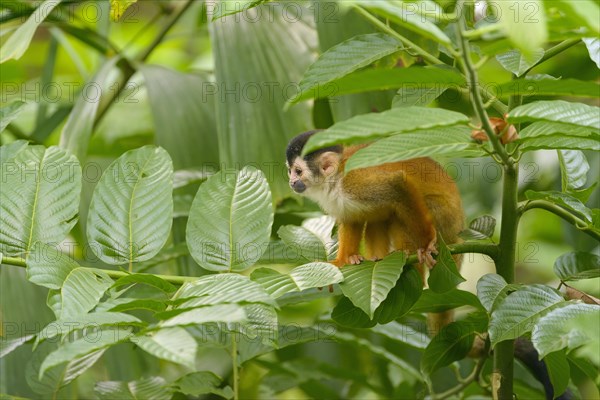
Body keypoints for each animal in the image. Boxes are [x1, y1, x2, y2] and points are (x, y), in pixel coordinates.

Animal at [286, 131, 464, 276]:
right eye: (290, 171)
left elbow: (397, 183)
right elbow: (351, 219)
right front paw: (342, 260)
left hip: (444, 220)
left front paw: (427, 244)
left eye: (298, 171)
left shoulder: (353, 182)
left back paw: (408, 252)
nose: (291, 182)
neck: (333, 180)